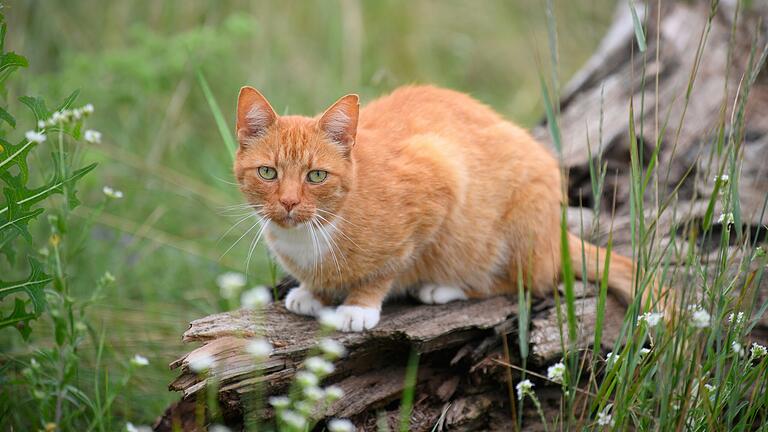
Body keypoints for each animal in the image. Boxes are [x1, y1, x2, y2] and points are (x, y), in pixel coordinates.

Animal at [234, 86, 664, 332]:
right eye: (268, 172)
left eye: (317, 176)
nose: (289, 202)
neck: (311, 235)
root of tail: (553, 234)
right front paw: (314, 292)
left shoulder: (440, 176)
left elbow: (391, 266)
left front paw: (359, 305)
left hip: (519, 223)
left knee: (524, 280)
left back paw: (445, 287)